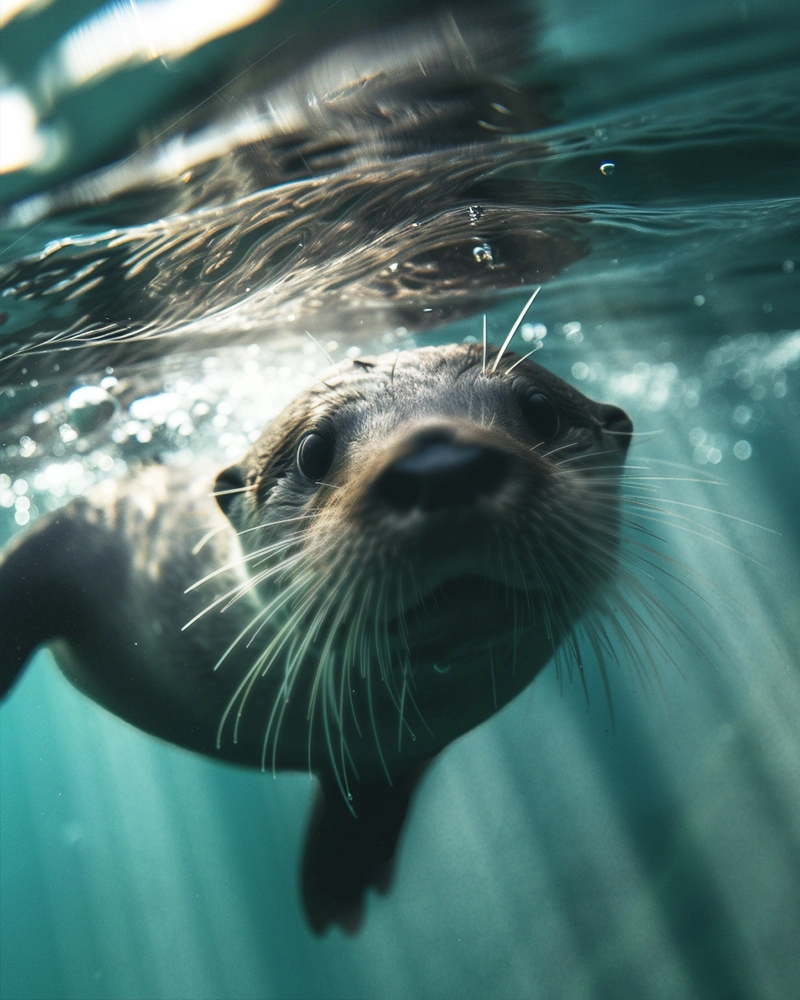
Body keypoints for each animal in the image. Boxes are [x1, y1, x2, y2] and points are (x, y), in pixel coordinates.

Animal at [0, 342, 632, 928]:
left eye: (541, 410)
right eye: (313, 451)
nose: (441, 465)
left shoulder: (396, 753)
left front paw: (341, 875)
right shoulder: (95, 525)